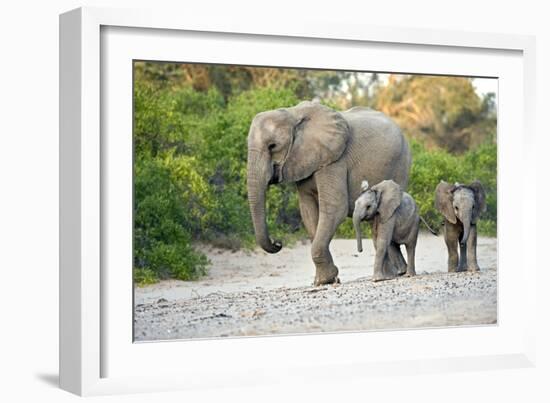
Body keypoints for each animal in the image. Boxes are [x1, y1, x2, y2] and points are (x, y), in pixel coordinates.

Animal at [248, 101, 412, 286]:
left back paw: (395, 273)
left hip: (401, 164)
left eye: (273, 146)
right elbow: (308, 211)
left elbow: (335, 207)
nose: (278, 242)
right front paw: (324, 280)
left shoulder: (335, 160)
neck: (293, 114)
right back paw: (392, 273)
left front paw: (327, 279)